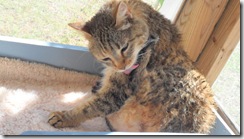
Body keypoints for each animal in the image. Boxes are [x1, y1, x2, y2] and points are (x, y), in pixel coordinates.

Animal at [48, 0, 216, 135]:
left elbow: (90, 107)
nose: (122, 66)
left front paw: (64, 117)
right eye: (106, 58)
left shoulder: (118, 92)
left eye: (124, 48)